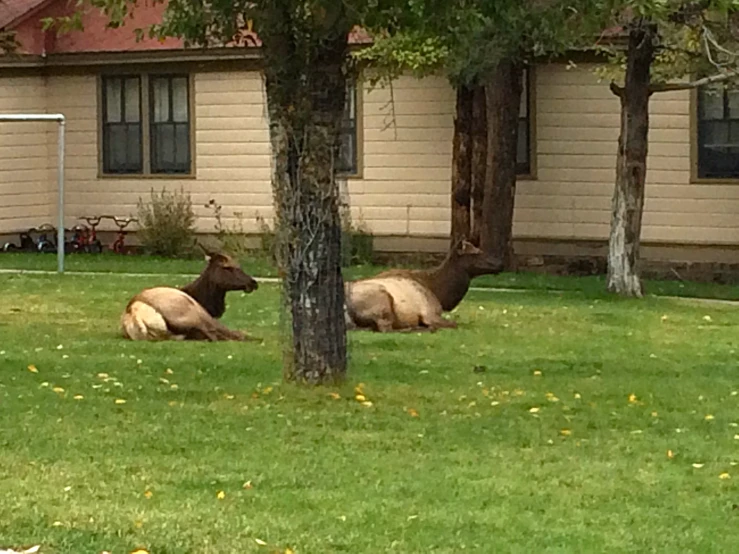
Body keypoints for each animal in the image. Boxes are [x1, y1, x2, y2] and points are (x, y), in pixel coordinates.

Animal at [121, 247, 260, 340]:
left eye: (239, 266)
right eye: (227, 267)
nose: (253, 283)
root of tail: (134, 311)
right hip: (194, 313)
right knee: (219, 335)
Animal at [346, 238, 502, 332]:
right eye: (476, 253)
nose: (500, 263)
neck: (440, 294)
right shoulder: (429, 312)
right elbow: (454, 324)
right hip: (381, 300)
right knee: (386, 328)